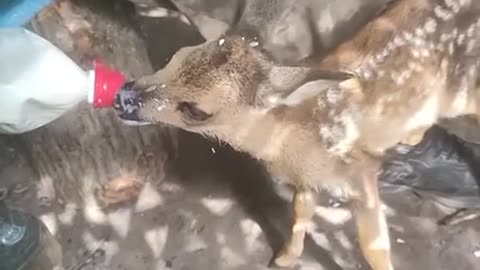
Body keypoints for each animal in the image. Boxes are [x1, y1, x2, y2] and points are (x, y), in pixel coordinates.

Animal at [113, 1, 480, 268]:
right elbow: (299, 212)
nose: (123, 97)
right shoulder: (307, 178)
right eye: (172, 59)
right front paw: (284, 259)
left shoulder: (360, 175)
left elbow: (373, 245)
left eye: (196, 110)